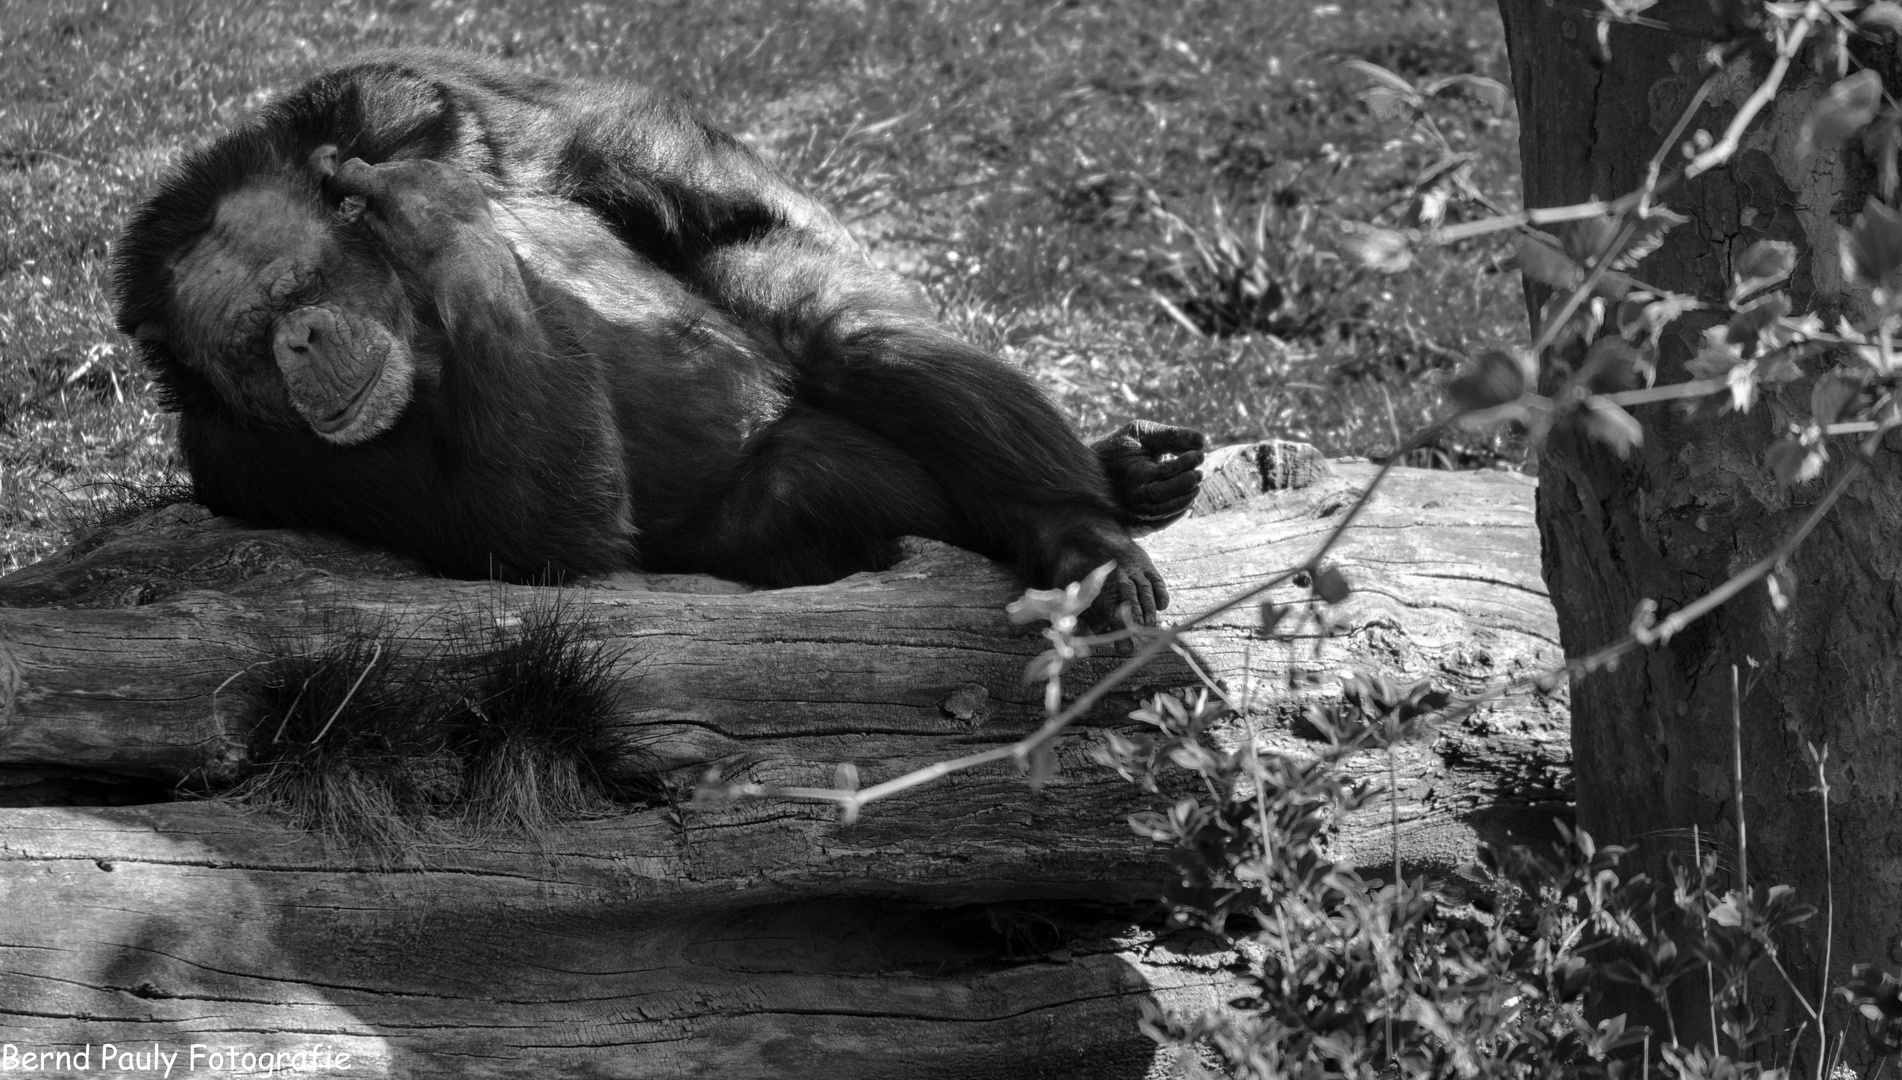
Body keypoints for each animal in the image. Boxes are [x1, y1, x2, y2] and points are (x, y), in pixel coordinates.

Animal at [115, 50, 1202, 623]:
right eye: (248, 339)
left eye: (296, 287)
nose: (297, 339)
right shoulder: (250, 464)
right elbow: (537, 534)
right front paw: (443, 227)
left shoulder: (419, 101)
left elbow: (686, 190)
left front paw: (422, 205)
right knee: (800, 478)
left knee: (845, 332)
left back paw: (1085, 521)